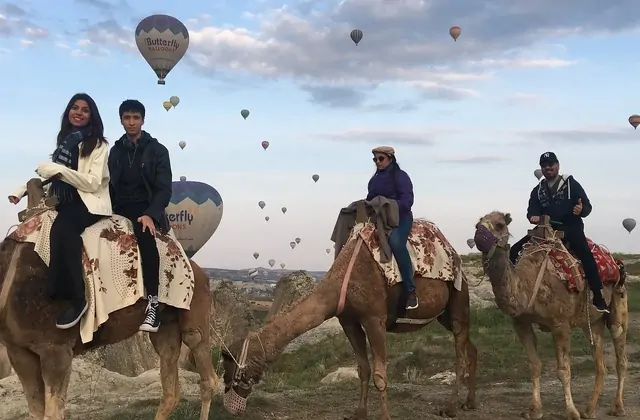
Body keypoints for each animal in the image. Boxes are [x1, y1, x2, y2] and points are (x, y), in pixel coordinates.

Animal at [0, 178, 220, 420]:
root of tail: (199, 270)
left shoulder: (56, 348)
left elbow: (53, 414)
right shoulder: (18, 351)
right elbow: (36, 412)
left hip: (194, 307)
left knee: (205, 369)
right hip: (166, 327)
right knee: (170, 386)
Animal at [220, 201, 477, 420]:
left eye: (230, 365)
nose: (227, 400)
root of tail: (452, 251)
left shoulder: (375, 319)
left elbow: (380, 375)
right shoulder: (349, 321)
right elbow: (363, 369)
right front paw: (359, 413)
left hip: (458, 298)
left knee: (461, 352)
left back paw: (451, 408)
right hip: (443, 314)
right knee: (470, 348)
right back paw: (469, 402)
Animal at [473, 211, 628, 420]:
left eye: (499, 225)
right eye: (477, 225)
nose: (478, 236)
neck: (529, 284)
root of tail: (616, 262)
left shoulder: (560, 323)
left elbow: (563, 370)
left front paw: (571, 412)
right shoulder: (521, 323)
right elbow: (534, 365)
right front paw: (534, 409)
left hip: (619, 303)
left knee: (621, 355)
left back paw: (618, 407)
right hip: (593, 322)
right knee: (600, 362)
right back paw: (589, 409)